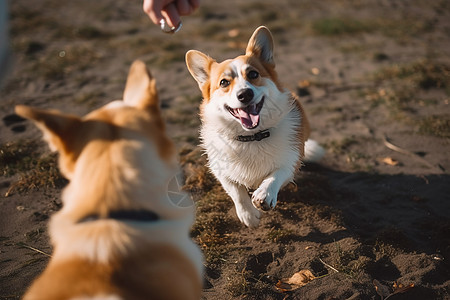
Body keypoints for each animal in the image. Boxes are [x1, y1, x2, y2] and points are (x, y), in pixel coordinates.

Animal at [185, 27, 324, 229]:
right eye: (224, 82)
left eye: (253, 75)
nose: (245, 94)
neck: (251, 137)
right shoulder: (220, 170)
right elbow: (236, 191)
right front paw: (248, 215)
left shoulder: (291, 160)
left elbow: (275, 175)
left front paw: (264, 194)